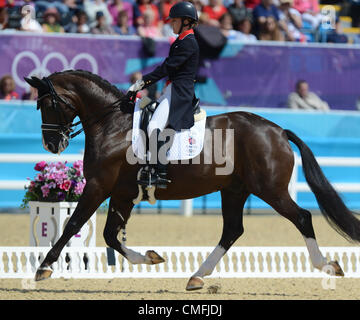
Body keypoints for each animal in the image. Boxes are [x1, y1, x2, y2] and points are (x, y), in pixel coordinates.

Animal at [23, 70, 358, 290]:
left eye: (47, 104)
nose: (52, 145)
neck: (112, 125)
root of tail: (278, 131)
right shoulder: (122, 194)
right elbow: (109, 235)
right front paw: (151, 258)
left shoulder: (98, 187)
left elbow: (73, 225)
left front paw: (44, 267)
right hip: (235, 190)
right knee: (232, 230)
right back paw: (197, 276)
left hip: (270, 189)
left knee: (301, 217)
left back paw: (327, 265)